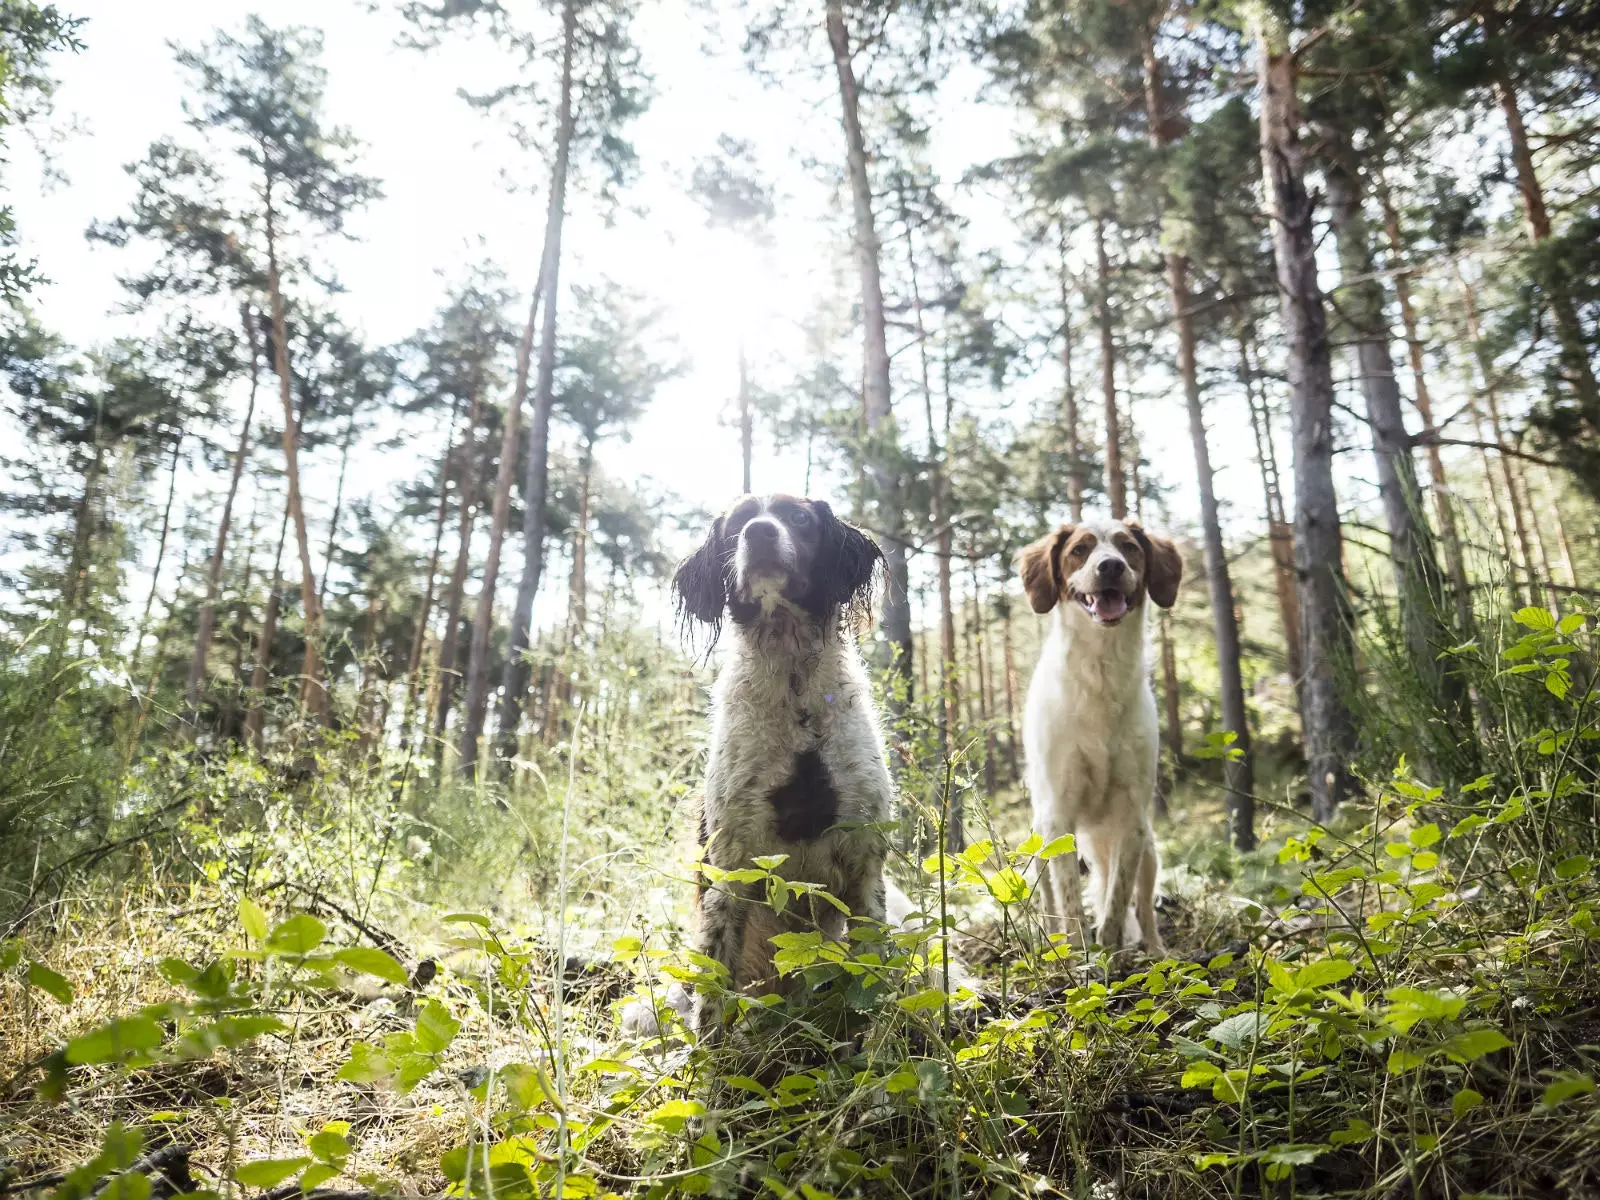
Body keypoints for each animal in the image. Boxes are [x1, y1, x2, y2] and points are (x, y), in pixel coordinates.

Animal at [1017, 521, 1184, 953]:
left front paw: (1109, 951)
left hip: (1149, 849)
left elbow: (1118, 899)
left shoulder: (1133, 817)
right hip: (1038, 840)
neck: (1101, 671)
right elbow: (1071, 903)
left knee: (1142, 904)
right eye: (1079, 549)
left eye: (1129, 547)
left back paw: (1156, 951)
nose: (1110, 566)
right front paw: (1080, 954)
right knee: (1050, 903)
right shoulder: (1058, 817)